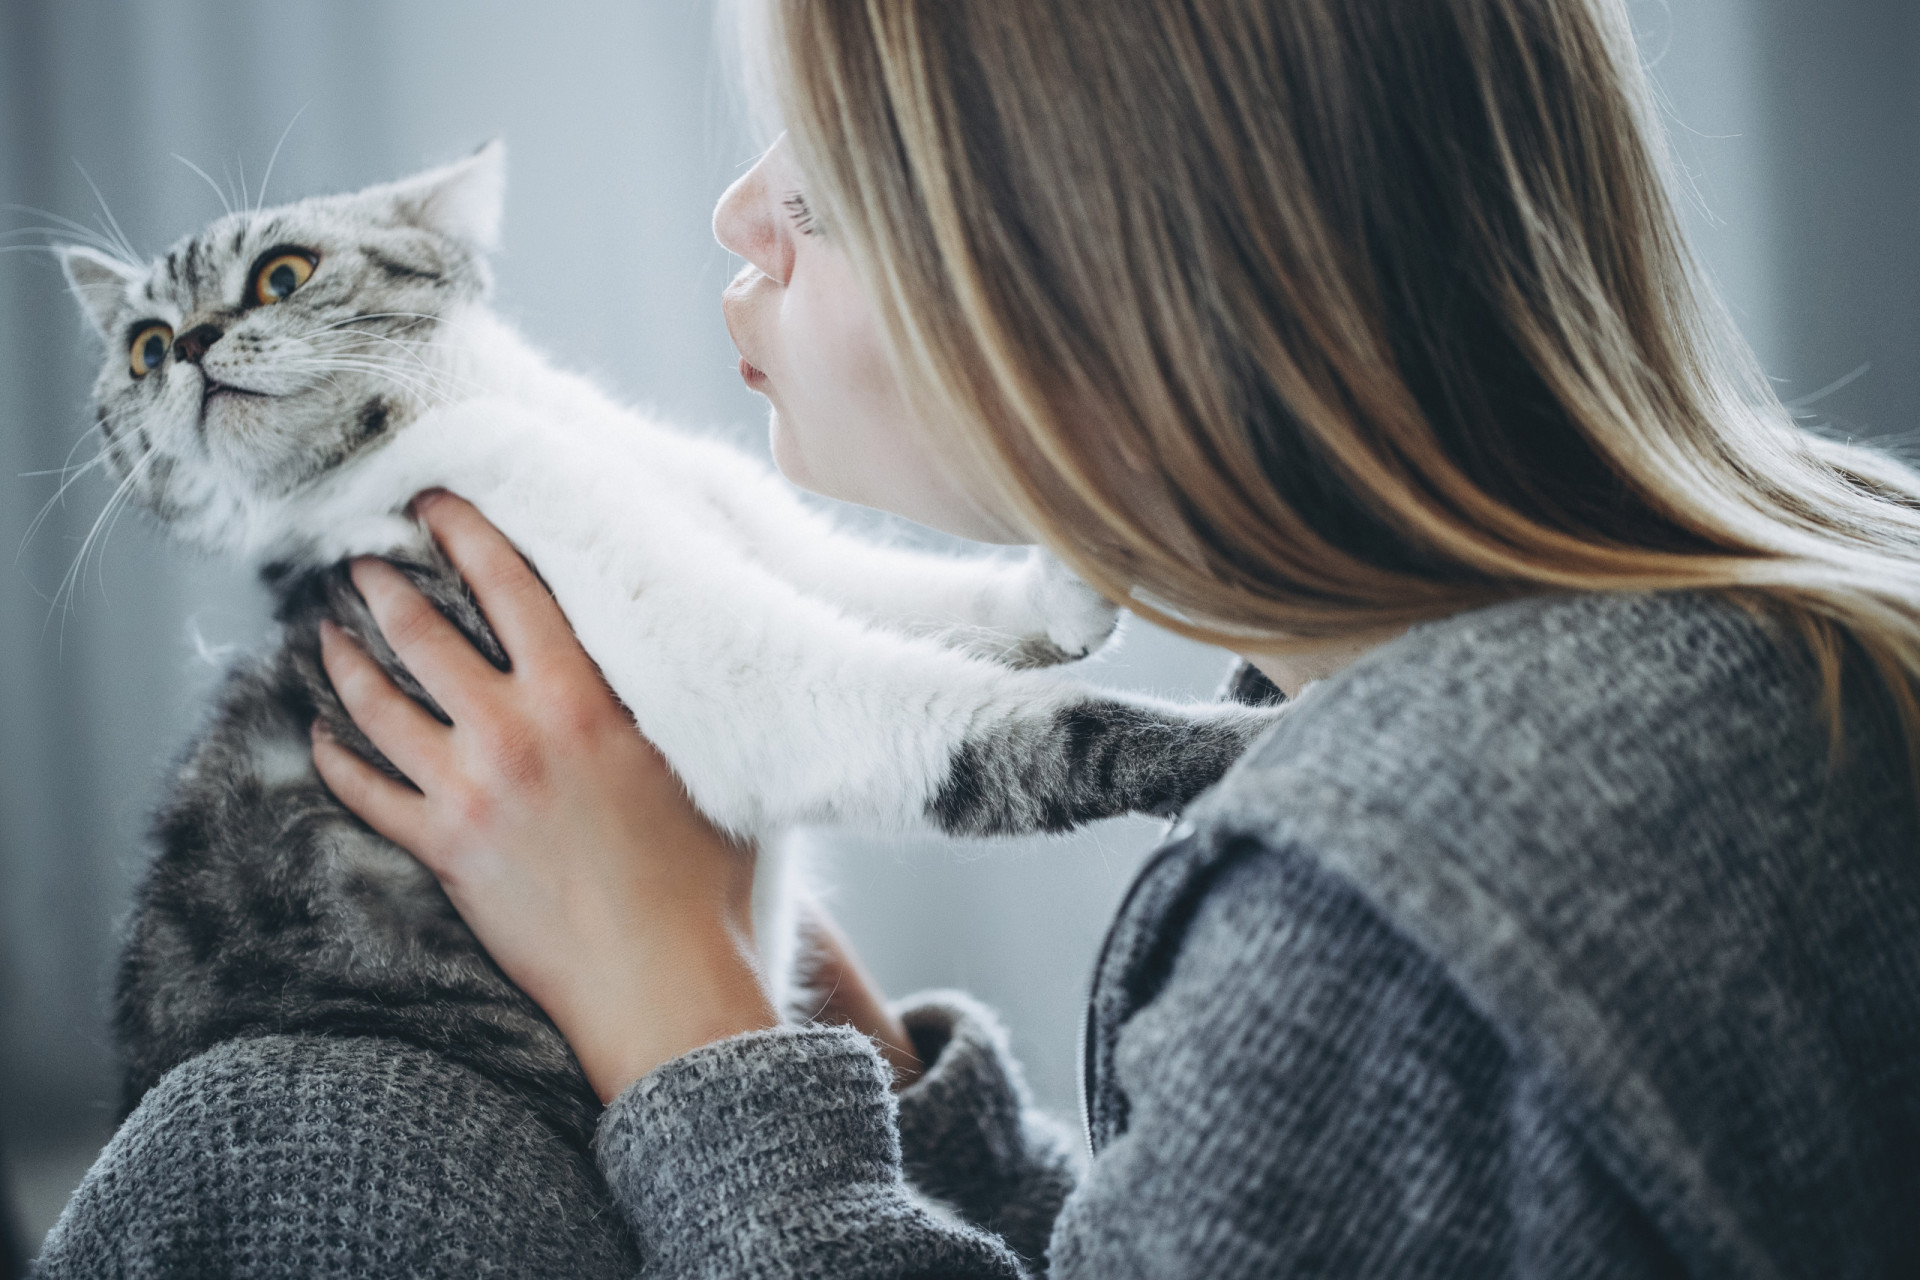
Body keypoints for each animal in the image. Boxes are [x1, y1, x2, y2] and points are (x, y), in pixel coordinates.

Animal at [60, 142, 1290, 1151]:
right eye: (144, 346)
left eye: (283, 273)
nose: (190, 345)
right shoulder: (733, 679)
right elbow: (1029, 730)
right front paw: (1249, 748)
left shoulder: (740, 521)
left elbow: (900, 587)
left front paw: (1078, 568)